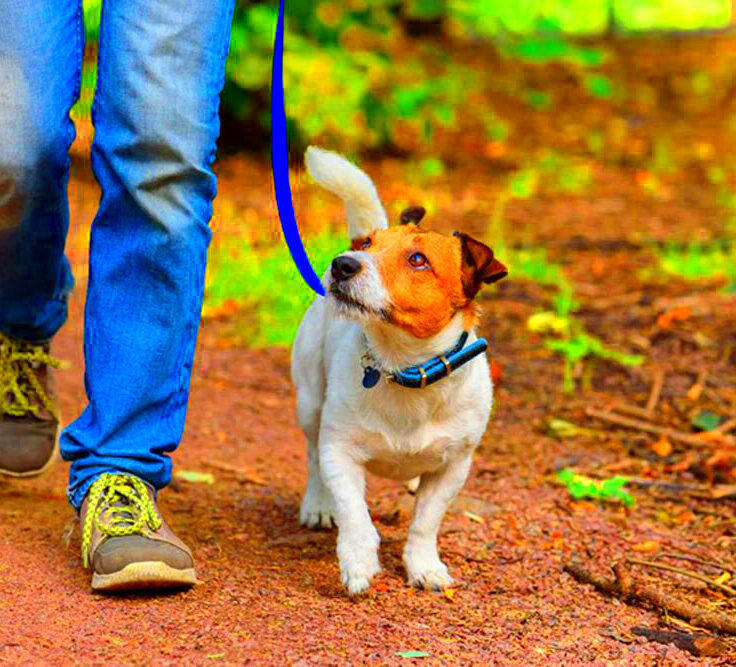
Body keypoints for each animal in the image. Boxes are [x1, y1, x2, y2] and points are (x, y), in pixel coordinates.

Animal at [292, 147, 506, 596]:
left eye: (418, 260)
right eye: (368, 245)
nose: (342, 263)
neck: (402, 367)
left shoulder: (453, 467)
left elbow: (426, 521)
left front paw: (424, 566)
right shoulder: (339, 451)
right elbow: (354, 512)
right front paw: (358, 561)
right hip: (309, 402)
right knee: (312, 457)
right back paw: (318, 504)